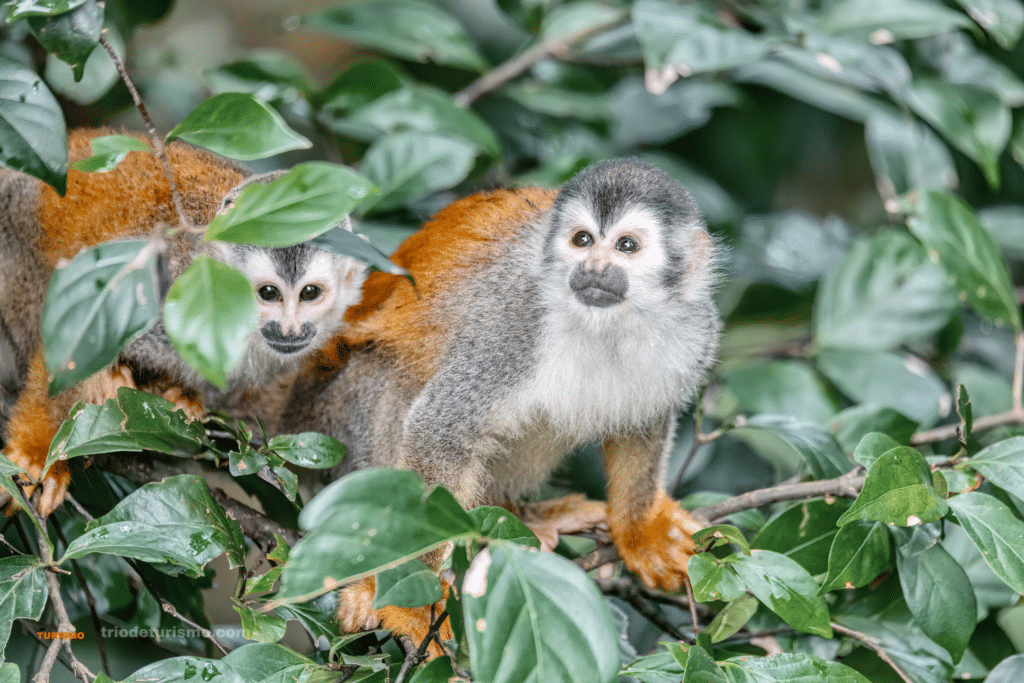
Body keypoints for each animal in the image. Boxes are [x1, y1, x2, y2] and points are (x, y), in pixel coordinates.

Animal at [0, 127, 368, 516]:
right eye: (269, 293)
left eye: (310, 293)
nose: (290, 329)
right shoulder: (166, 303)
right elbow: (71, 340)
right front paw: (37, 455)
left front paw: (188, 397)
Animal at [280, 158, 720, 651]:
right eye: (582, 240)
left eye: (626, 246)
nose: (593, 267)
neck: (603, 322)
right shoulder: (513, 327)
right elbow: (441, 432)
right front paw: (413, 603)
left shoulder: (694, 329)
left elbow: (644, 422)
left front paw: (641, 532)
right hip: (325, 425)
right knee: (387, 375)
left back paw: (521, 514)